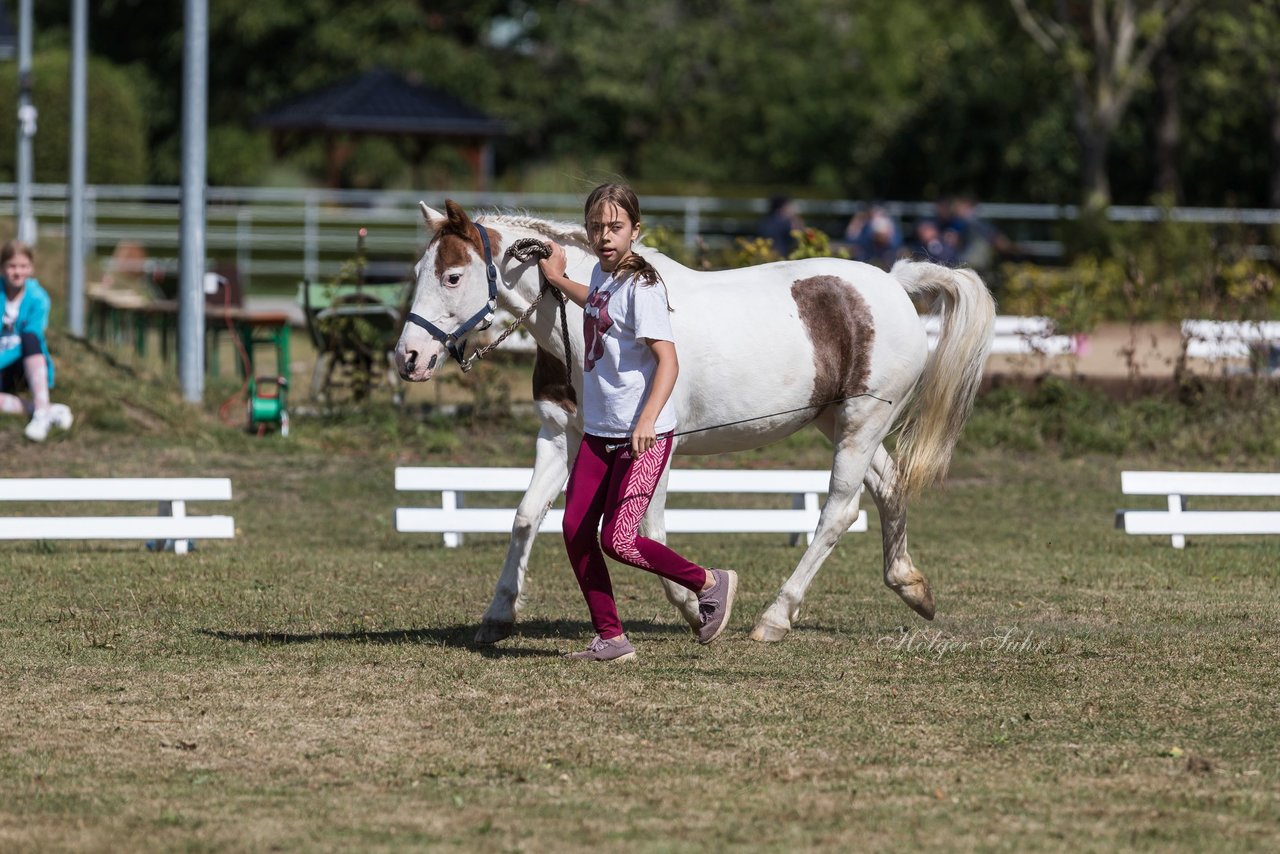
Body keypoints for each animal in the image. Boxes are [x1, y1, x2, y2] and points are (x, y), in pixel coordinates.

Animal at [394, 201, 993, 640]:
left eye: (453, 276)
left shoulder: (655, 443)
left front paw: (695, 604)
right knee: (889, 487)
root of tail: (894, 284)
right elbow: (524, 516)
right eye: (420, 272)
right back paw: (912, 588)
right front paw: (498, 615)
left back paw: (774, 618)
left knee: (839, 512)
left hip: (861, 423)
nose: (408, 358)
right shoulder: (561, 436)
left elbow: (643, 529)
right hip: (838, 421)